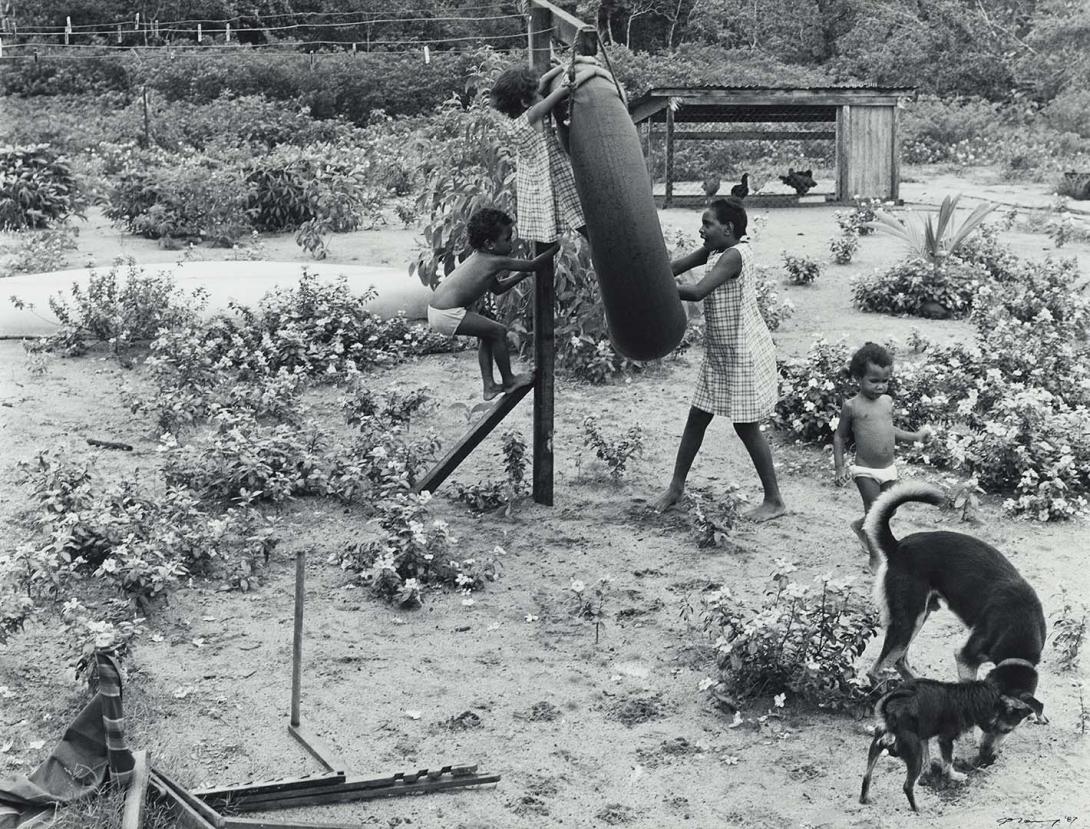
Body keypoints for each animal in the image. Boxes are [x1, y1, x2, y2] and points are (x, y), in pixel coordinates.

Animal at [858, 485, 1046, 762]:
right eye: (988, 726)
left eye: (1008, 730)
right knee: (878, 668)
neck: (1018, 629)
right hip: (908, 619)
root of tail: (897, 546)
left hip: (921, 615)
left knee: (900, 660)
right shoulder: (965, 656)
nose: (986, 759)